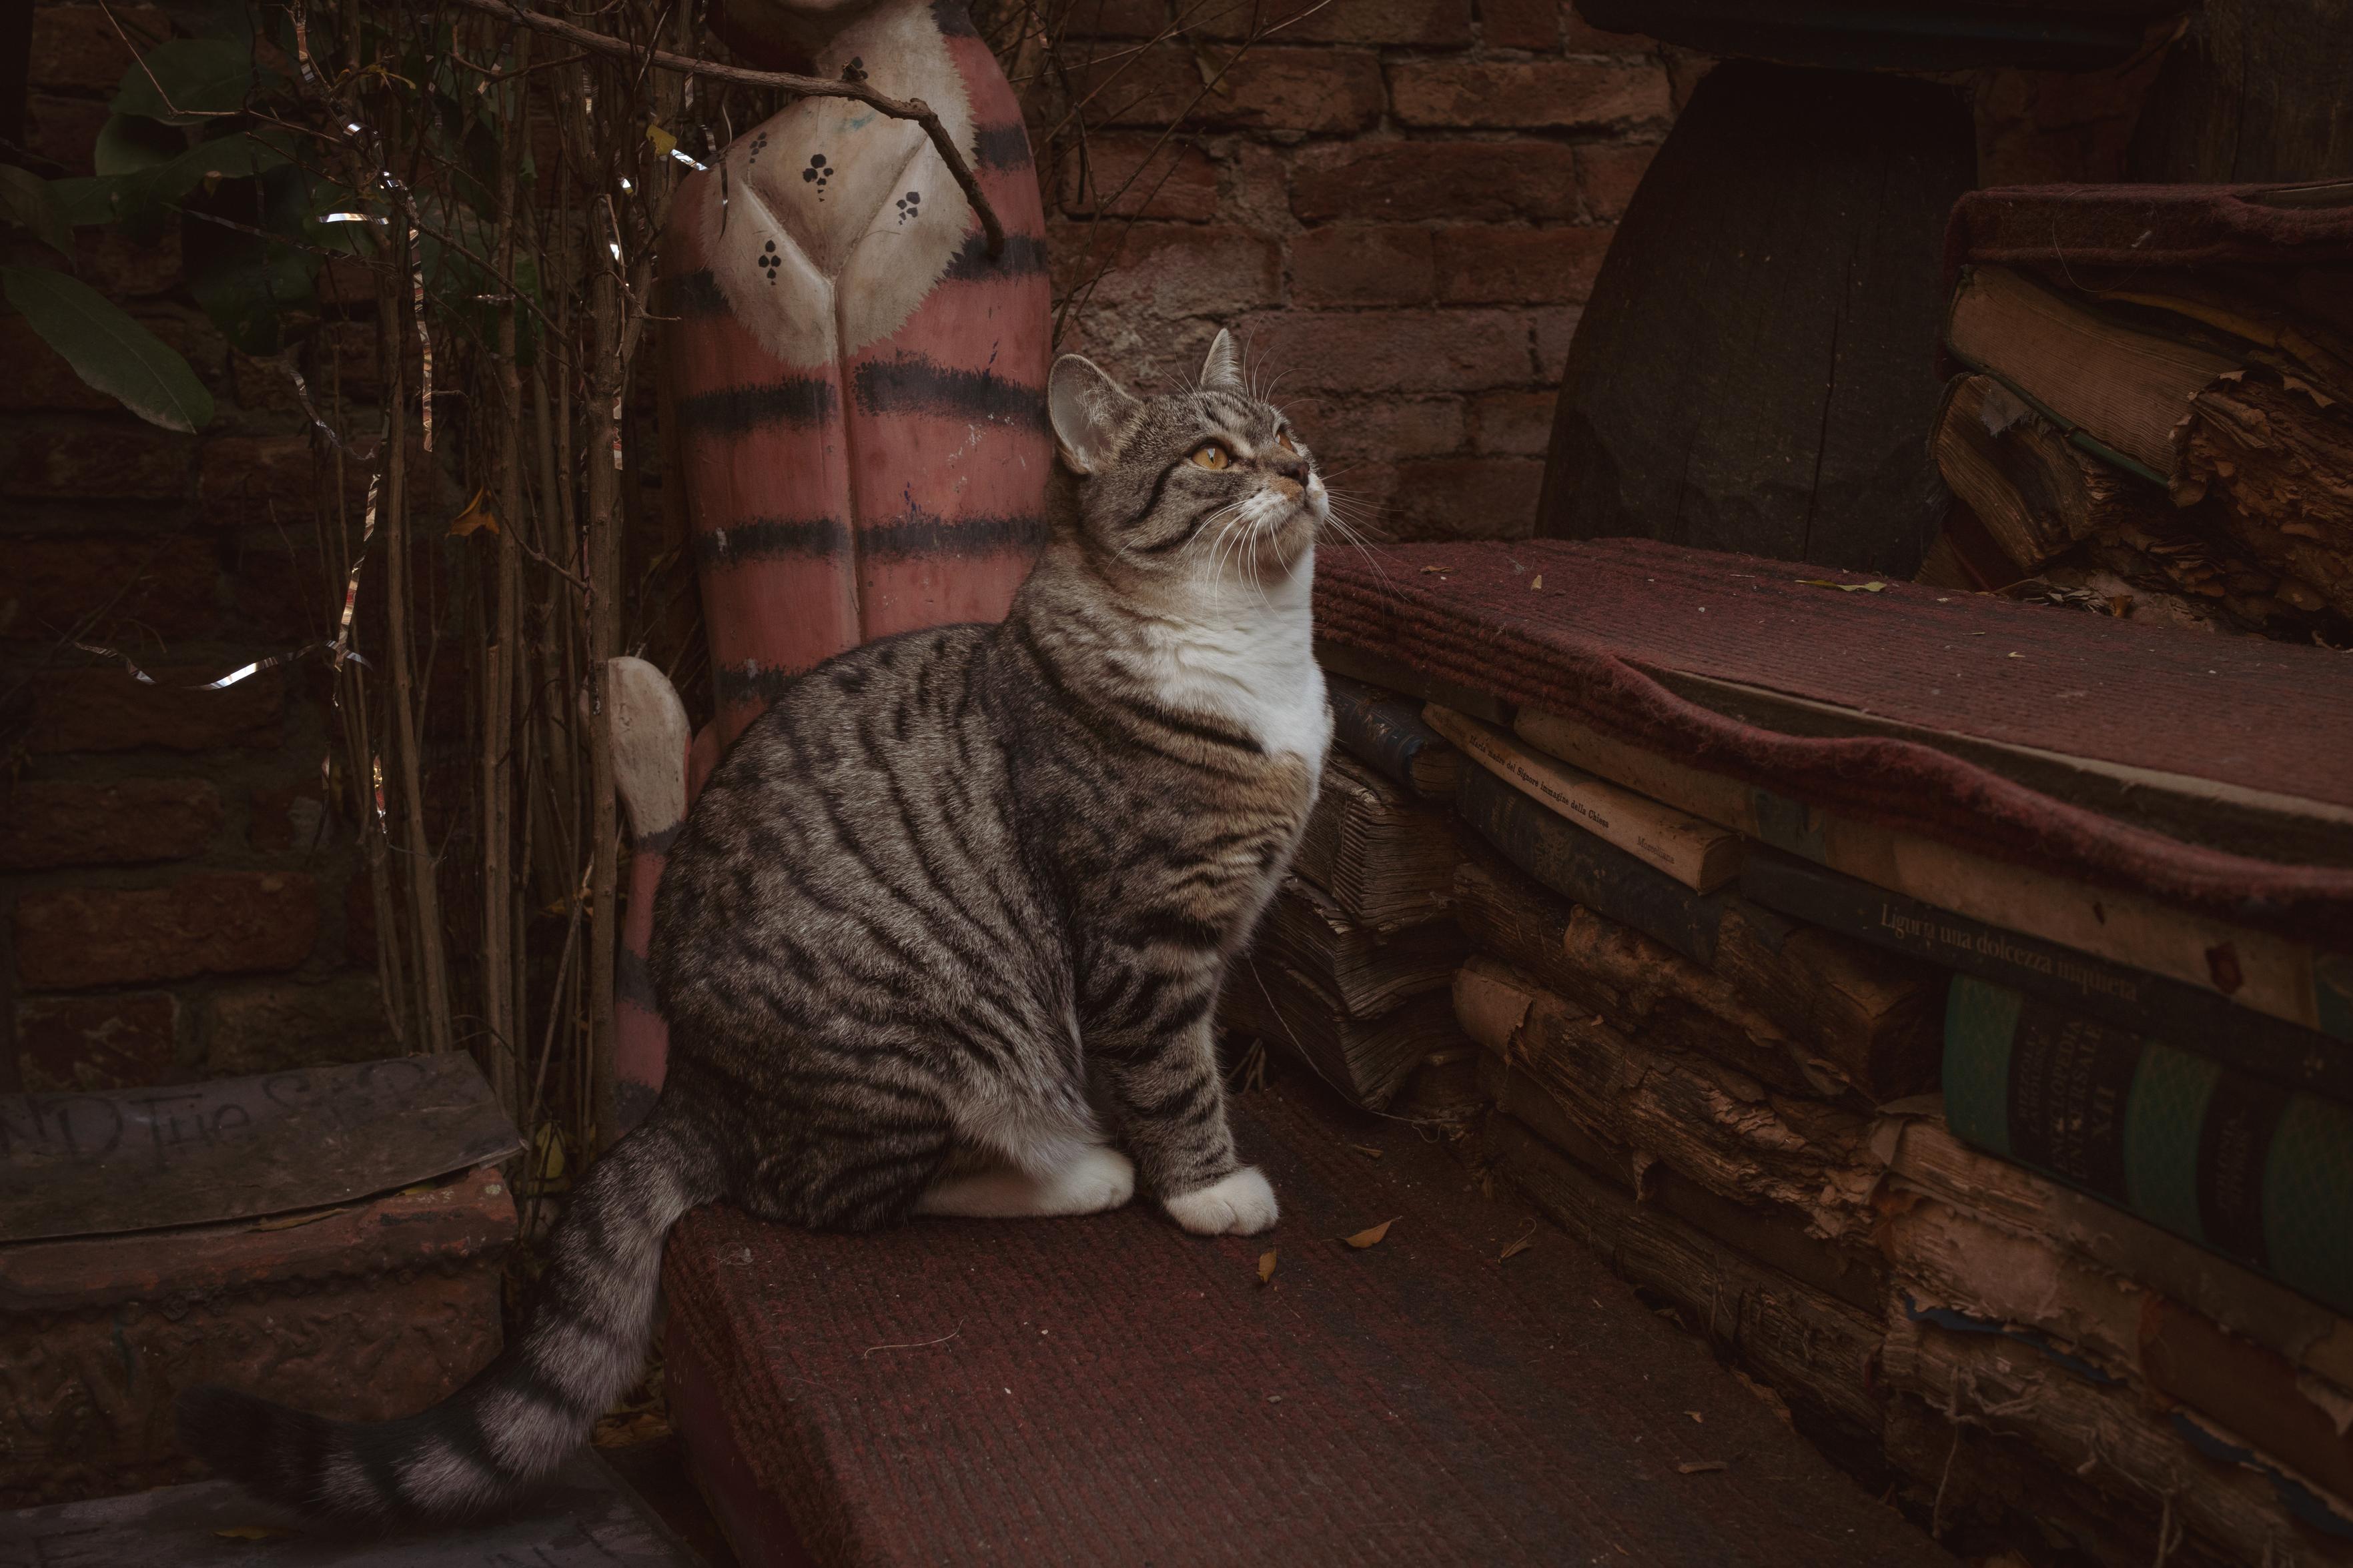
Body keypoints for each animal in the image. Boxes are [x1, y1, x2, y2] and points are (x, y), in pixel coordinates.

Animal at [181, 329, 1327, 1523]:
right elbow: (1171, 1074)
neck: (1256, 655)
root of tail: (689, 1084)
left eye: (1284, 428)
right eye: (1213, 454)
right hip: (926, 1033)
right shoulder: (1142, 933)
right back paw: (1067, 1169)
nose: (1299, 469)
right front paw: (1206, 1187)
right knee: (834, 1192)